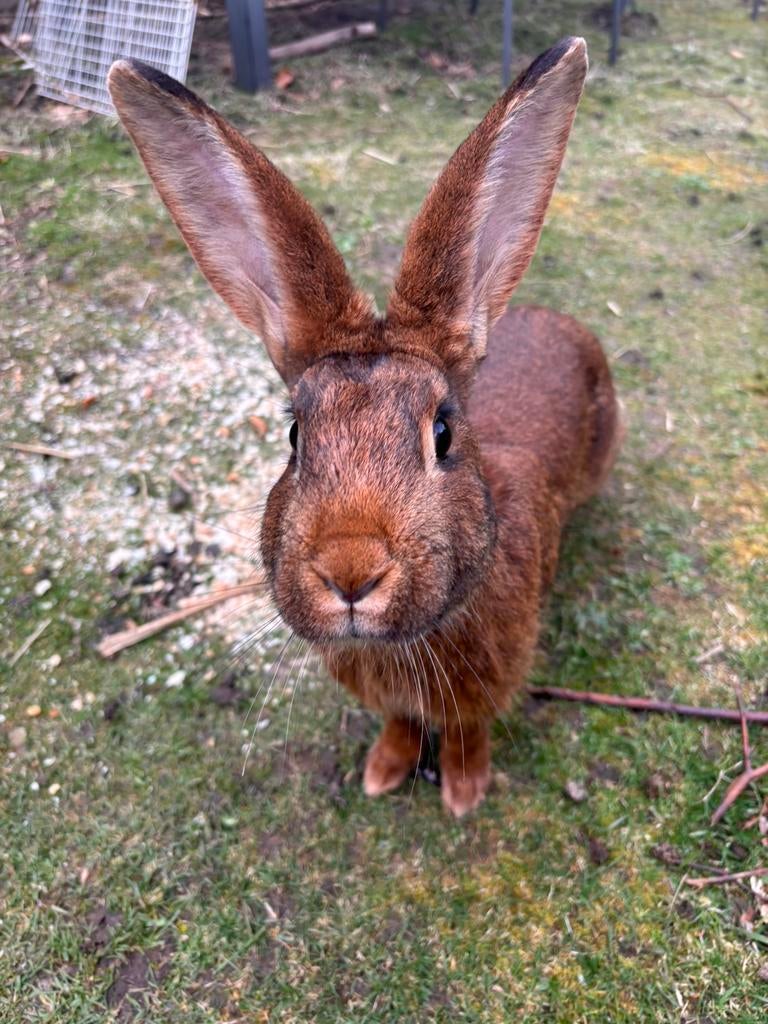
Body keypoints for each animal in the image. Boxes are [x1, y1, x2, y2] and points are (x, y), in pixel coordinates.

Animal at [107, 36, 621, 817]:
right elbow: (401, 723)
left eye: (443, 433)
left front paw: (463, 793)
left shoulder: (487, 687)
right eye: (295, 437)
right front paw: (384, 771)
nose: (350, 572)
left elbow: (467, 731)